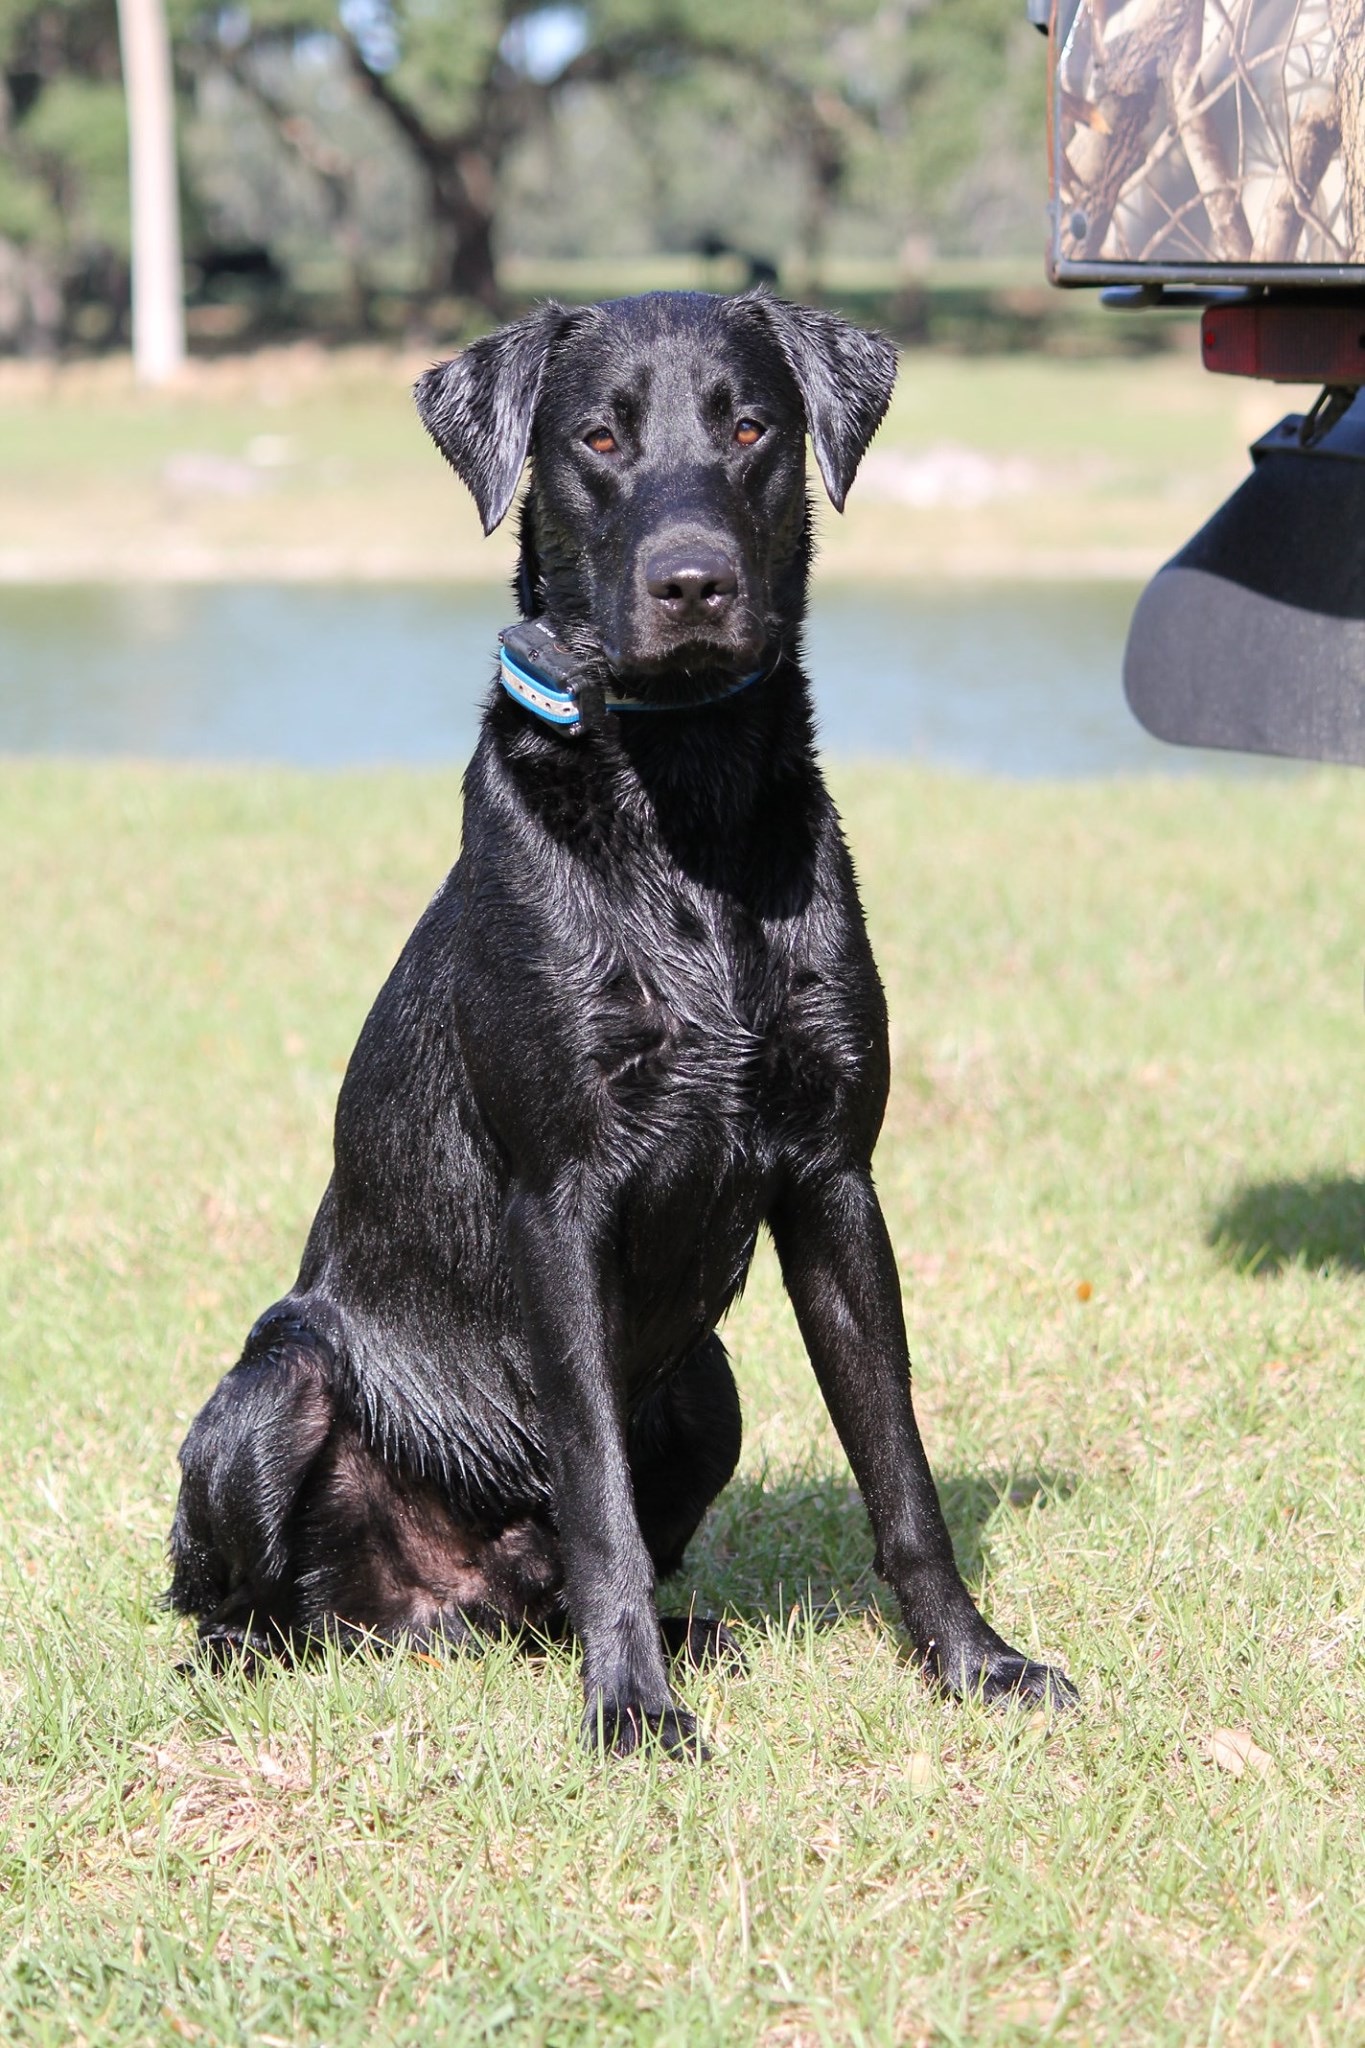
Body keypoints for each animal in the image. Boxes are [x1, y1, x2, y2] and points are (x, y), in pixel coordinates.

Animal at [165, 292, 1072, 1761]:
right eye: (597, 436)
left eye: (751, 427)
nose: (691, 581)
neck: (683, 810)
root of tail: (429, 1610)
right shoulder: (562, 1201)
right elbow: (597, 1497)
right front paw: (633, 1711)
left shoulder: (837, 1179)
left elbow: (901, 1470)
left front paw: (971, 1661)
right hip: (276, 1384)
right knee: (245, 1603)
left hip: (706, 1386)